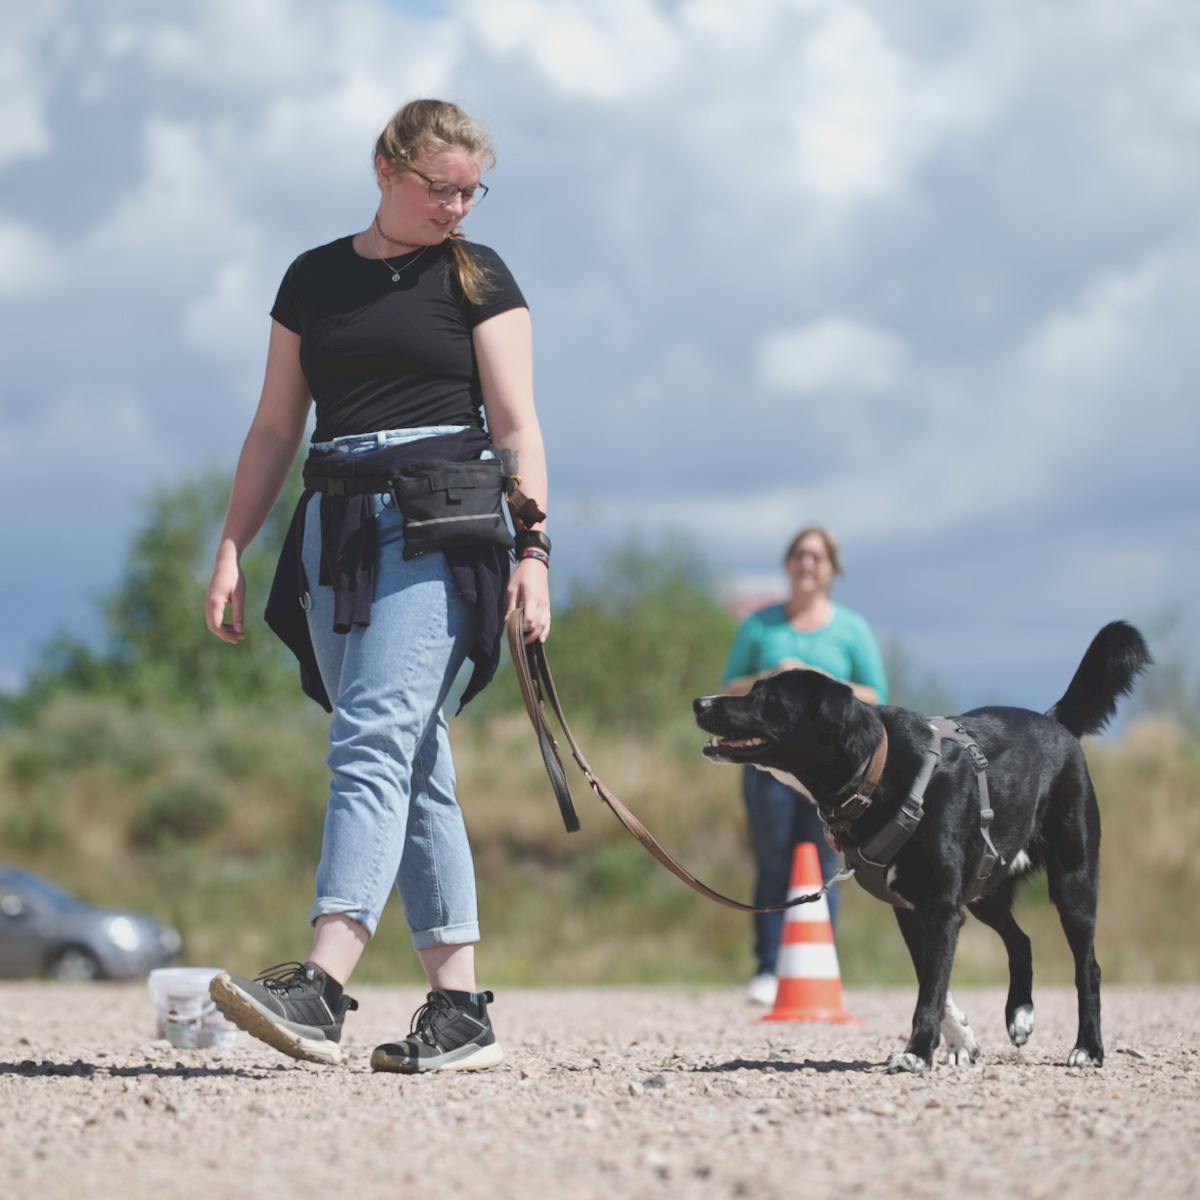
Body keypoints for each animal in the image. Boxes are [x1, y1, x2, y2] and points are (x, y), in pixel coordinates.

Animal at [696, 624, 1152, 1075]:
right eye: (753, 686)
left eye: (770, 698)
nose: (700, 702)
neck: (874, 769)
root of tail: (1055, 722)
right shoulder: (913, 910)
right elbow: (934, 982)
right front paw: (961, 1039)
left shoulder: (940, 908)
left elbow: (930, 991)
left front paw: (916, 1052)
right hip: (985, 887)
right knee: (1021, 941)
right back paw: (1019, 1014)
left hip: (1073, 881)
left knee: (1088, 968)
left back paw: (1088, 1048)